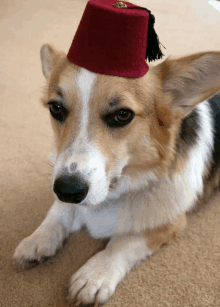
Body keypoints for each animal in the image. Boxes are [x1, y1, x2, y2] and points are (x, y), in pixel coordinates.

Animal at [12, 44, 220, 307]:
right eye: (55, 108)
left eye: (122, 115)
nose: (68, 190)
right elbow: (58, 213)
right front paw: (37, 239)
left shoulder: (169, 222)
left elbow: (123, 242)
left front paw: (94, 274)